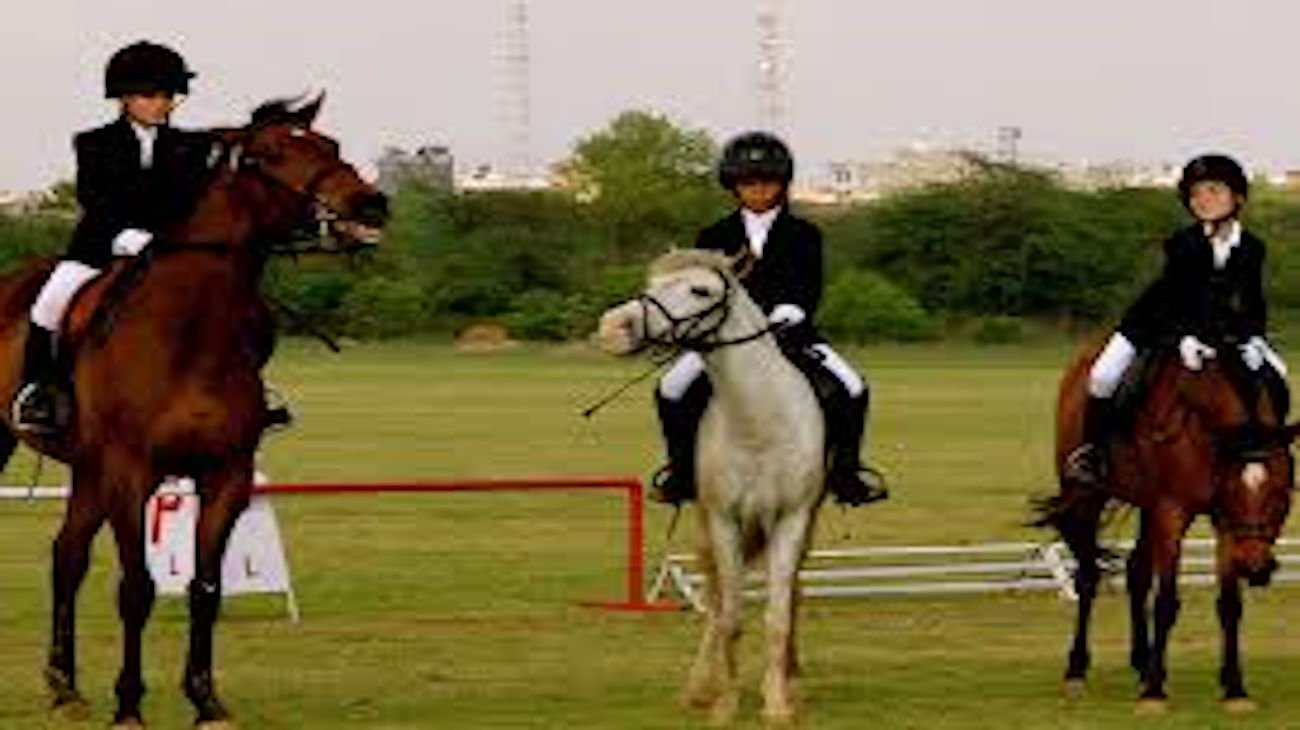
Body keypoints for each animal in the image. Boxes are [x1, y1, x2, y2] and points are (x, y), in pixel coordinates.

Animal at [0, 93, 384, 722]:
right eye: (271, 155)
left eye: (330, 146)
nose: (372, 204)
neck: (189, 329)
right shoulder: (131, 474)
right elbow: (137, 588)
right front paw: (129, 706)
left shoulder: (225, 475)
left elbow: (206, 589)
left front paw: (206, 701)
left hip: (88, 470)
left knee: (67, 557)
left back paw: (65, 686)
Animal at [598, 249, 821, 722]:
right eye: (652, 282)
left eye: (700, 290)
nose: (613, 328)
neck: (758, 420)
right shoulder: (723, 519)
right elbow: (730, 616)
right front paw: (725, 704)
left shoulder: (792, 518)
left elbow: (778, 615)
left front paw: (778, 703)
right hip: (706, 525)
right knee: (717, 600)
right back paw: (701, 685)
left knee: (791, 592)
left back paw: (790, 680)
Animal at [1034, 340, 1300, 711]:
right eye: (1234, 490)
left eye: (1280, 493)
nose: (1255, 567)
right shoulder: (1172, 511)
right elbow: (1165, 602)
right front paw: (1154, 693)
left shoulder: (1221, 522)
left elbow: (1230, 605)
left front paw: (1235, 689)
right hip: (1087, 494)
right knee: (1088, 576)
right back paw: (1077, 671)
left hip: (1148, 508)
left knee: (1136, 572)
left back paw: (1142, 662)